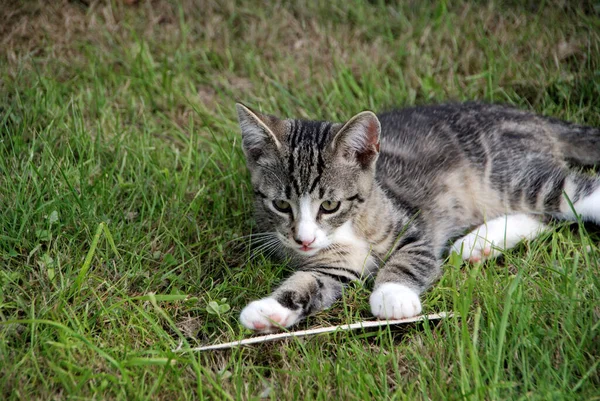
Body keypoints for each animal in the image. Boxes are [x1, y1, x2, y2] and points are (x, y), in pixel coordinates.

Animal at [234, 102, 600, 332]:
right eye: (281, 205)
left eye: (329, 205)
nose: (304, 239)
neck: (352, 226)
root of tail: (527, 115)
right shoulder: (332, 265)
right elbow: (309, 281)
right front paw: (270, 310)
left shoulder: (415, 226)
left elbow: (410, 258)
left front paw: (392, 295)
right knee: (549, 217)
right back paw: (477, 243)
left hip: (514, 176)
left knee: (571, 194)